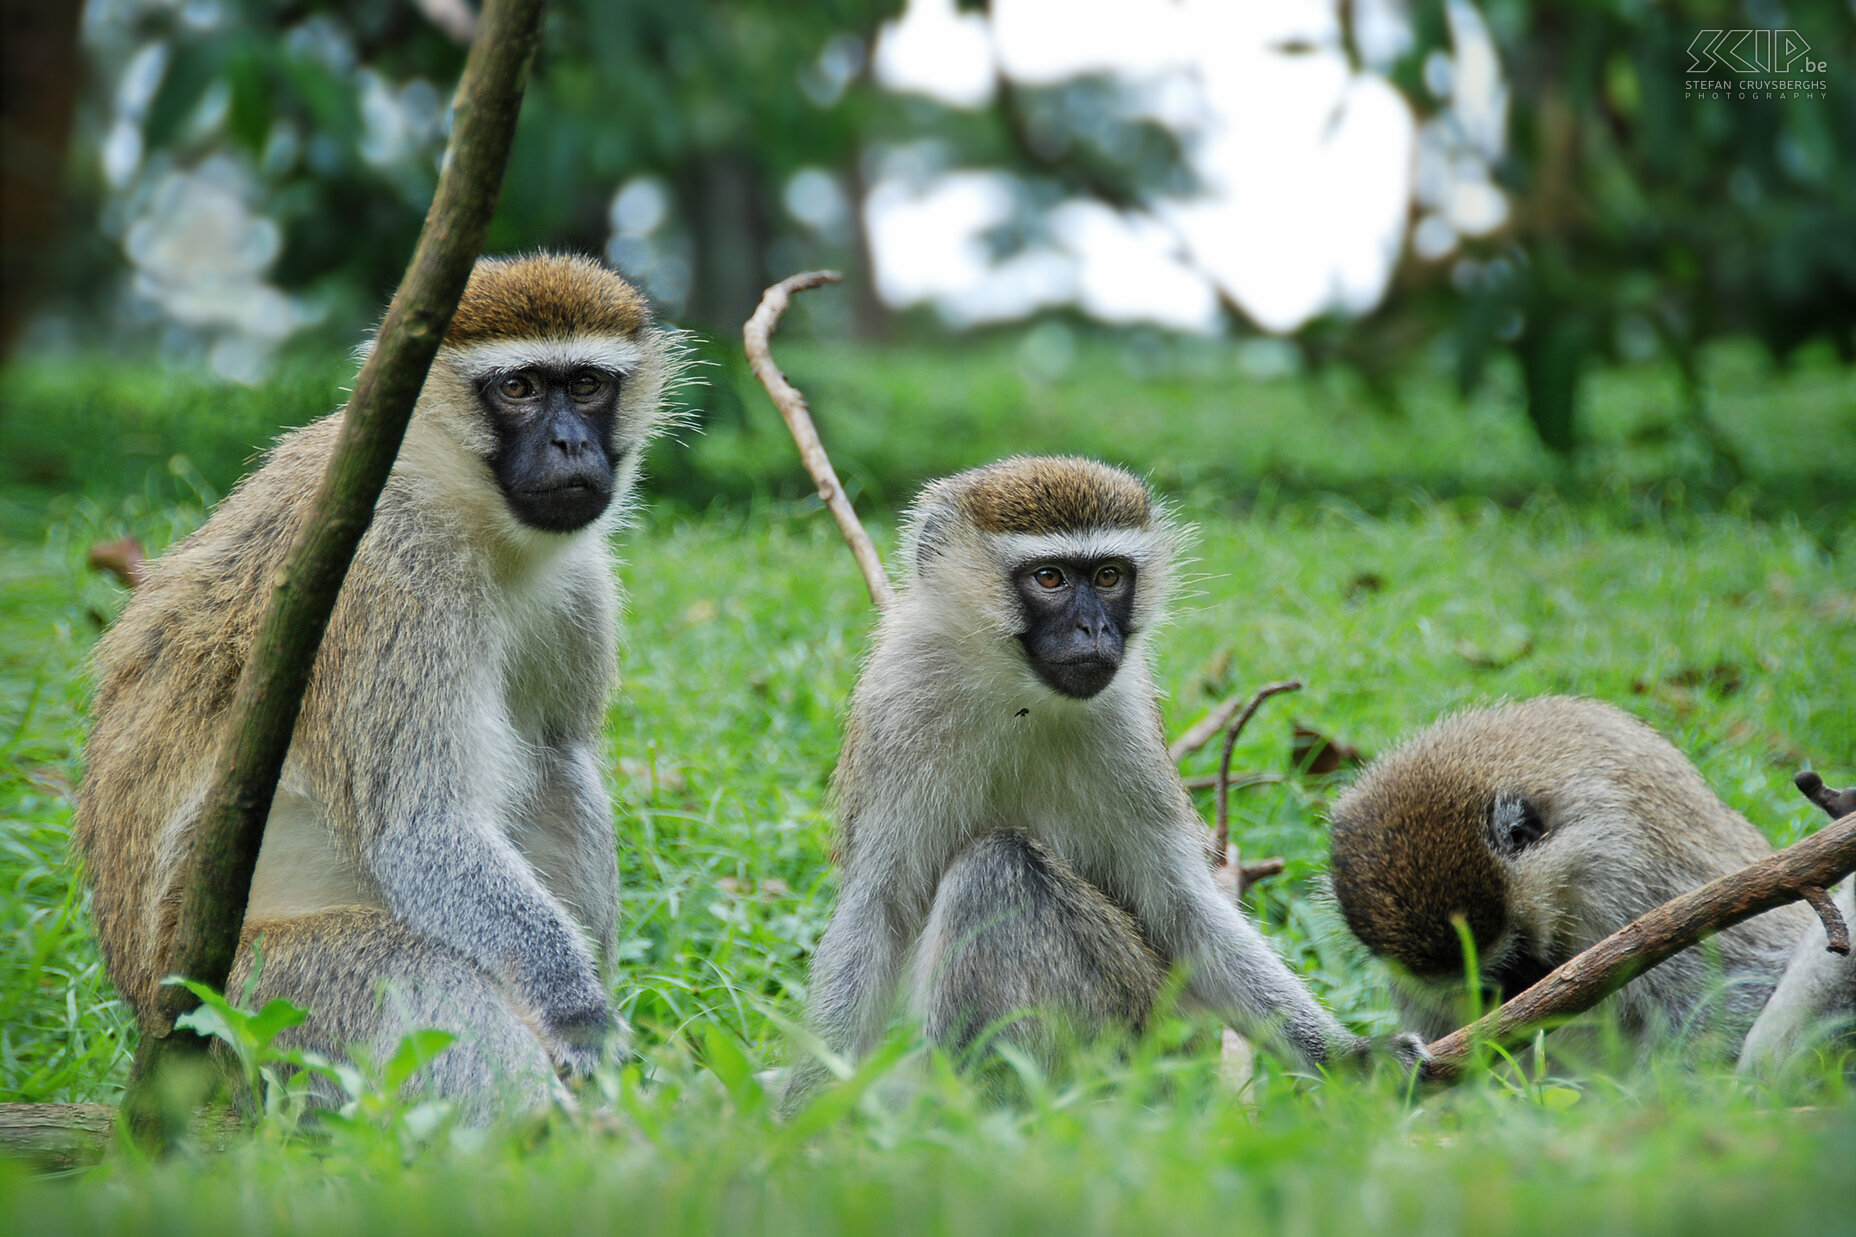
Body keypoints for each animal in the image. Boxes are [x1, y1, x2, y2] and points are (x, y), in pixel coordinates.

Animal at [74, 252, 683, 1114]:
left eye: (589, 384)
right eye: (520, 387)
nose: (569, 442)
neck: (452, 501)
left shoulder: (581, 584)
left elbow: (554, 757)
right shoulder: (384, 579)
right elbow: (420, 830)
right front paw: (578, 1012)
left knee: (558, 773)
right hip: (252, 1005)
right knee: (408, 964)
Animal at [783, 455, 1417, 1106]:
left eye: (1110, 576)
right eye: (1050, 578)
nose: (1094, 629)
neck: (1017, 695)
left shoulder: (1126, 717)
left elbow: (1182, 906)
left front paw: (1350, 1058)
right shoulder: (899, 700)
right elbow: (875, 908)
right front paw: (810, 1100)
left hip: (1142, 1023)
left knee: (997, 866)